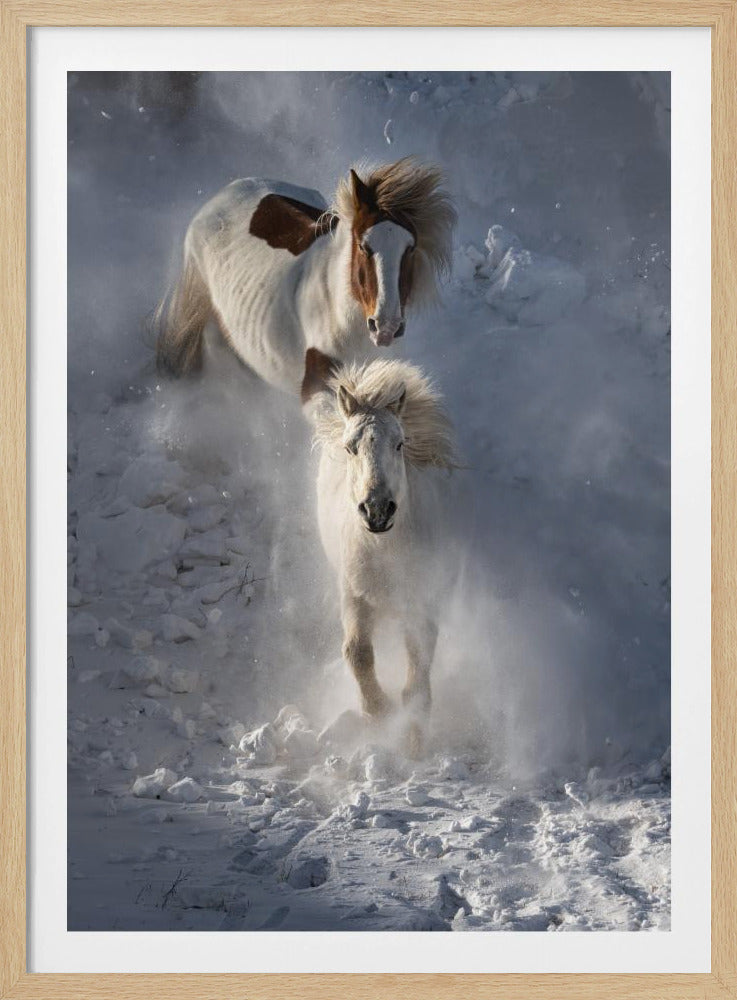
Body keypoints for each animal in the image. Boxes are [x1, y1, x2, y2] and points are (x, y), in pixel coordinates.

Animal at [309, 350, 456, 754]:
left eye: (400, 444)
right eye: (350, 446)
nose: (377, 510)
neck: (385, 553)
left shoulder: (421, 603)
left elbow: (418, 668)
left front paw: (414, 740)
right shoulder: (354, 595)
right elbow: (357, 652)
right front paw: (379, 711)